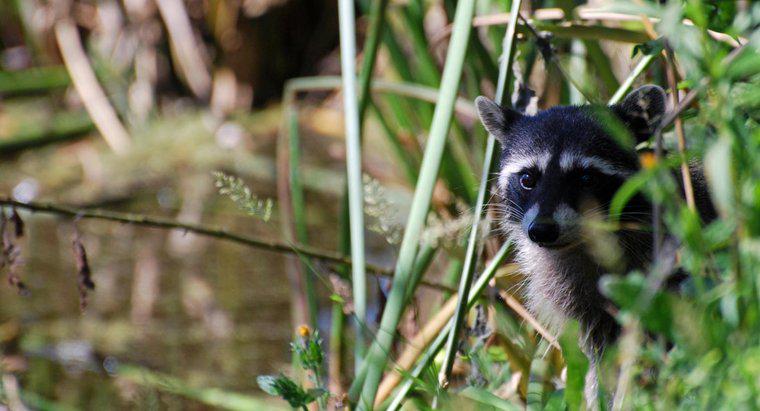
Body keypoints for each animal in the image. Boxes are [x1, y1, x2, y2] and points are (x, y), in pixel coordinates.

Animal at [478, 87, 716, 400]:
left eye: (586, 178)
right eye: (528, 179)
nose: (541, 230)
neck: (584, 242)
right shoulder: (575, 298)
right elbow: (601, 358)